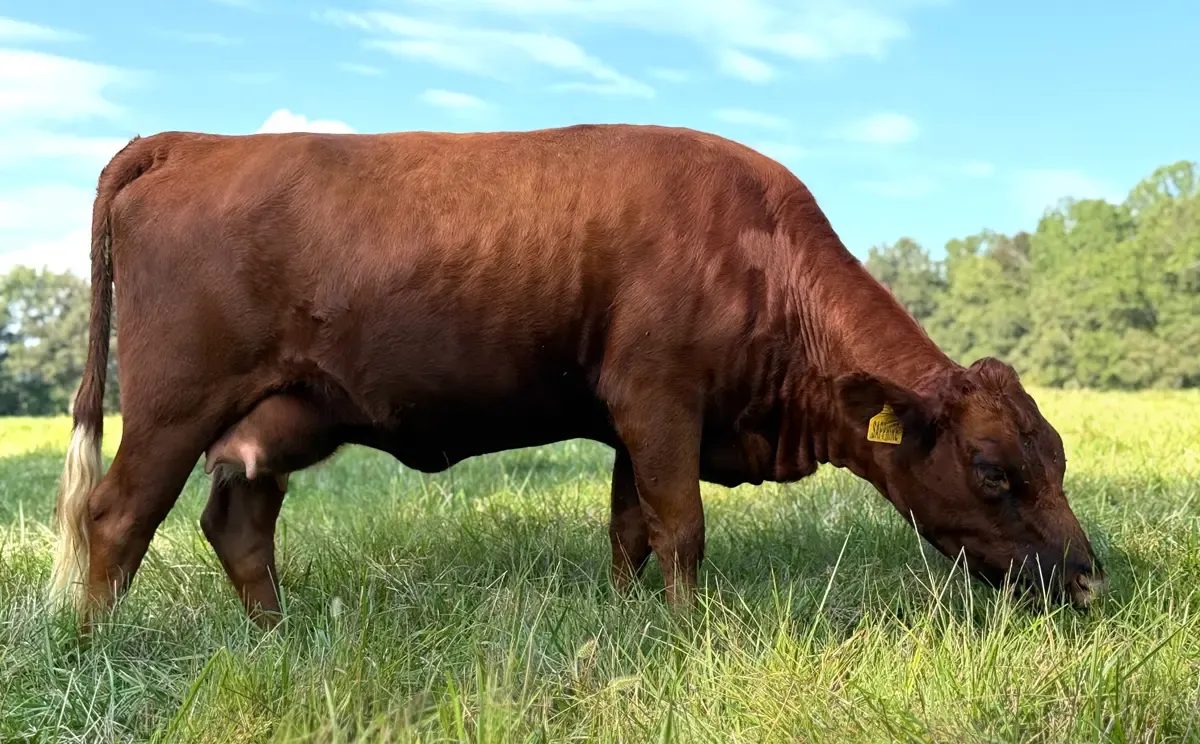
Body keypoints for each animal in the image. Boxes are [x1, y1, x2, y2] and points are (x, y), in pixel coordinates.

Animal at [48, 123, 1105, 631]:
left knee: (237, 524)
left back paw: (280, 637)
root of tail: (194, 142)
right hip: (175, 405)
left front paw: (636, 618)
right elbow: (682, 528)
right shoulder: (661, 400)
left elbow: (629, 529)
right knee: (116, 516)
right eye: (995, 471)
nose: (1092, 579)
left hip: (278, 419)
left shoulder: (632, 423)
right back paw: (97, 647)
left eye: (1055, 457)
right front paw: (690, 634)